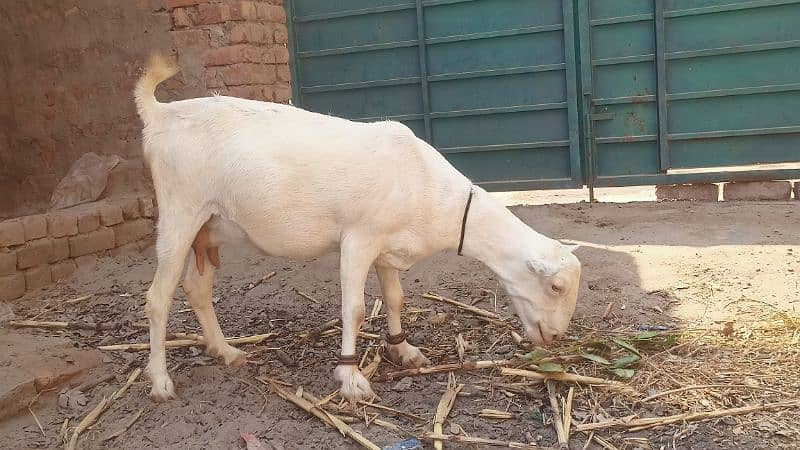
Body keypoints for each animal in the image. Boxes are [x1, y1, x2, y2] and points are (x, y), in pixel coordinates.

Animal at [136, 54, 580, 402]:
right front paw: (351, 378)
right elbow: (355, 309)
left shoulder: (387, 247)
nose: (556, 338)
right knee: (157, 297)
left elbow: (396, 298)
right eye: (555, 287)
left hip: (210, 227)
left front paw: (405, 351)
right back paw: (160, 382)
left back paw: (225, 352)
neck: (427, 188)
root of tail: (159, 113)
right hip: (180, 212)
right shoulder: (358, 240)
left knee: (196, 288)